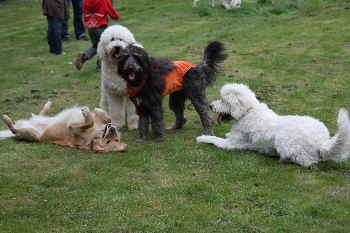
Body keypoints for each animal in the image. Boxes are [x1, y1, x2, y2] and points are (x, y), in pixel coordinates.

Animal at [0, 101, 128, 152]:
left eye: (108, 142)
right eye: (116, 139)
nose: (112, 129)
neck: (96, 132)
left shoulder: (73, 128)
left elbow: (89, 122)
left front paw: (86, 112)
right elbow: (107, 117)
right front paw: (98, 110)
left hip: (31, 134)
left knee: (14, 130)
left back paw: (6, 119)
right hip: (43, 119)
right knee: (41, 114)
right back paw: (48, 105)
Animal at [197, 83, 350, 167]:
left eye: (223, 100)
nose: (210, 106)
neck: (247, 112)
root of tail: (322, 143)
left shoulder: (230, 144)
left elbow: (214, 139)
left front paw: (202, 138)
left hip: (284, 139)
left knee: (308, 161)